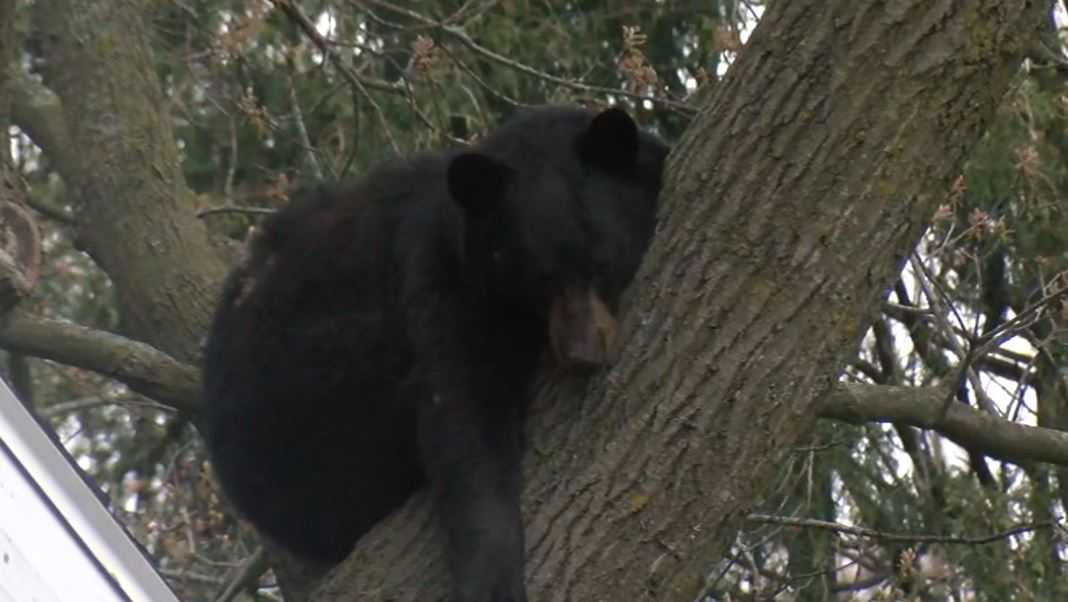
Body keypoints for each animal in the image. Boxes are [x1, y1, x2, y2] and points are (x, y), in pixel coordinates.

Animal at [200, 106, 666, 602]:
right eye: (539, 278)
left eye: (601, 262)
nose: (582, 353)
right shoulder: (441, 277)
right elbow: (464, 418)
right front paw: (493, 582)